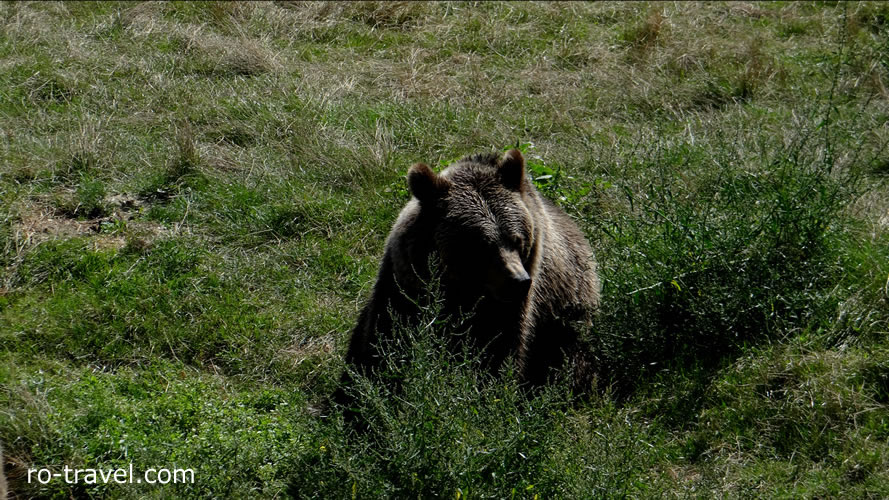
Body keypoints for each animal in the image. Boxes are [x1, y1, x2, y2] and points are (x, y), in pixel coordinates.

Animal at [336, 147, 600, 398]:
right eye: (482, 245)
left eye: (517, 240)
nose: (519, 281)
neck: (461, 290)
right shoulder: (405, 282)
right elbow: (386, 332)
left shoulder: (514, 308)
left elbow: (500, 348)